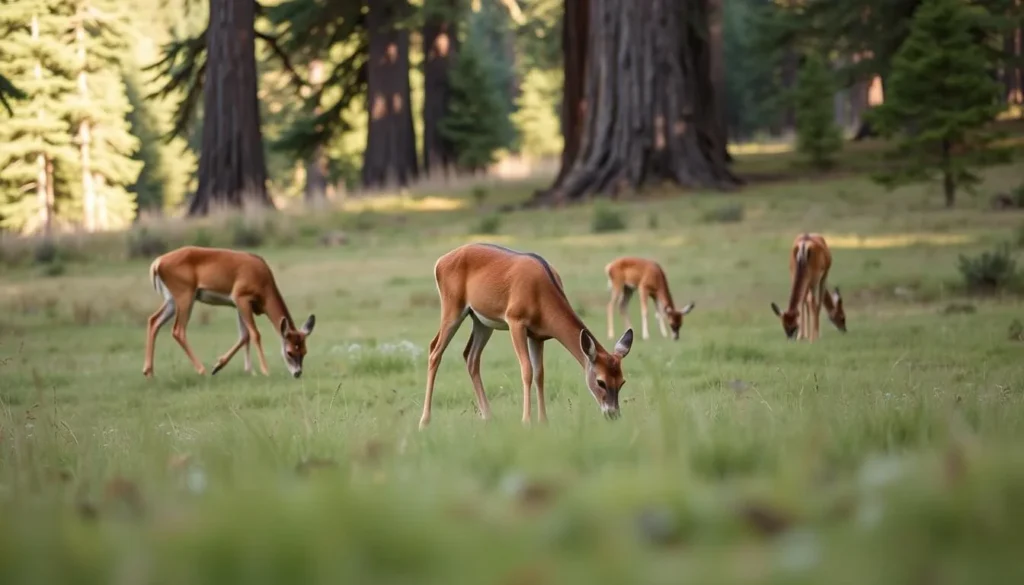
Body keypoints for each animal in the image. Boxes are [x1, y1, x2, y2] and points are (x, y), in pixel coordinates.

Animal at [141, 246, 316, 379]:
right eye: (289, 352)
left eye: (305, 351)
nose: (297, 373)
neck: (264, 283)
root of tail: (157, 263)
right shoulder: (241, 297)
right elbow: (255, 334)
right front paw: (265, 371)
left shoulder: (239, 305)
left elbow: (244, 335)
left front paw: (235, 368)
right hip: (185, 296)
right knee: (178, 330)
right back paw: (202, 370)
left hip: (172, 300)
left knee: (153, 320)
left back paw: (149, 372)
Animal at [419, 243, 634, 429]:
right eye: (600, 381)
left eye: (622, 381)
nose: (613, 414)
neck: (541, 295)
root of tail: (440, 262)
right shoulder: (516, 321)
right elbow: (527, 370)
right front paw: (526, 421)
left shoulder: (537, 336)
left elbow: (540, 374)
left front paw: (543, 420)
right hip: (452, 308)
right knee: (435, 350)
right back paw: (424, 421)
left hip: (482, 321)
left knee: (471, 356)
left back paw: (488, 416)